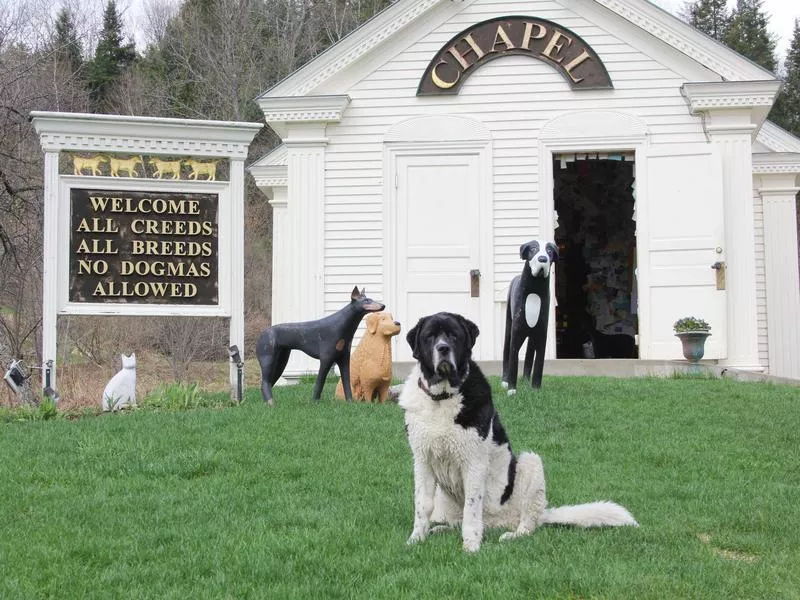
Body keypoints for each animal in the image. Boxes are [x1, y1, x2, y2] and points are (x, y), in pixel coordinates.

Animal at [400, 314, 636, 552]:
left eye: (453, 336)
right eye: (430, 336)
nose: (443, 348)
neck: (442, 398)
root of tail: (493, 524)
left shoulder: (474, 462)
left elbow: (472, 506)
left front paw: (471, 546)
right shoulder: (423, 461)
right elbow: (422, 505)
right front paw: (416, 539)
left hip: (531, 464)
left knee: (528, 521)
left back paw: (512, 535)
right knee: (452, 519)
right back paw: (441, 529)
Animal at [504, 239, 560, 394]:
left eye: (549, 251)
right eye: (533, 249)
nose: (543, 259)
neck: (535, 289)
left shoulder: (541, 334)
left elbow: (539, 363)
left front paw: (535, 389)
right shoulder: (517, 333)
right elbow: (513, 360)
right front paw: (511, 390)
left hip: (532, 335)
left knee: (529, 355)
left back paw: (525, 381)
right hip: (509, 327)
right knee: (506, 352)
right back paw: (505, 381)